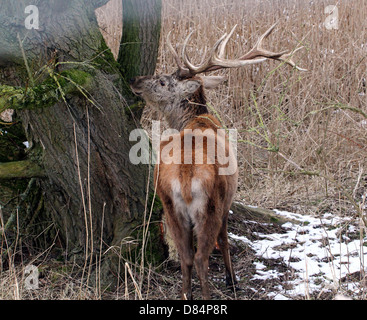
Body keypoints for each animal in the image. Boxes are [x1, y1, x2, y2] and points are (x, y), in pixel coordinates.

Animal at [129, 23, 304, 300]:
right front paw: (233, 281)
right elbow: (224, 240)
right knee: (202, 256)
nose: (134, 80)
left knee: (187, 256)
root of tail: (185, 176)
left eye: (162, 80)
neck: (197, 119)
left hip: (170, 206)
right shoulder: (229, 198)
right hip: (211, 204)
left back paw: (187, 295)